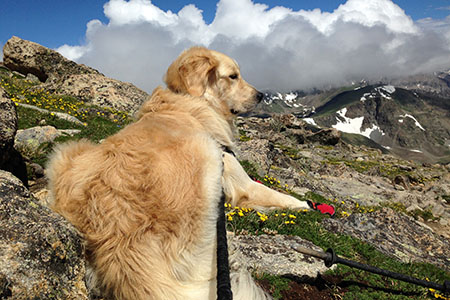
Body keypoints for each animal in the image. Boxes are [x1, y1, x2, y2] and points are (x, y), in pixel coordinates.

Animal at [48, 47, 310, 300]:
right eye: (233, 76)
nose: (261, 95)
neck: (193, 100)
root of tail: (117, 233)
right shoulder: (240, 180)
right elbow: (278, 195)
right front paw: (305, 205)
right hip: (205, 151)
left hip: (67, 153)